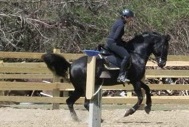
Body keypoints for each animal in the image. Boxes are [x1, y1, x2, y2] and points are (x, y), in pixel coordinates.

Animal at [41, 31, 171, 120]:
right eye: (164, 46)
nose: (163, 63)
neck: (136, 54)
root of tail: (71, 65)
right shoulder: (135, 81)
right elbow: (140, 97)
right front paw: (129, 112)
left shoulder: (136, 80)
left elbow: (148, 89)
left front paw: (148, 108)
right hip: (84, 88)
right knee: (84, 103)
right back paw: (99, 119)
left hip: (79, 89)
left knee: (69, 101)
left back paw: (76, 119)